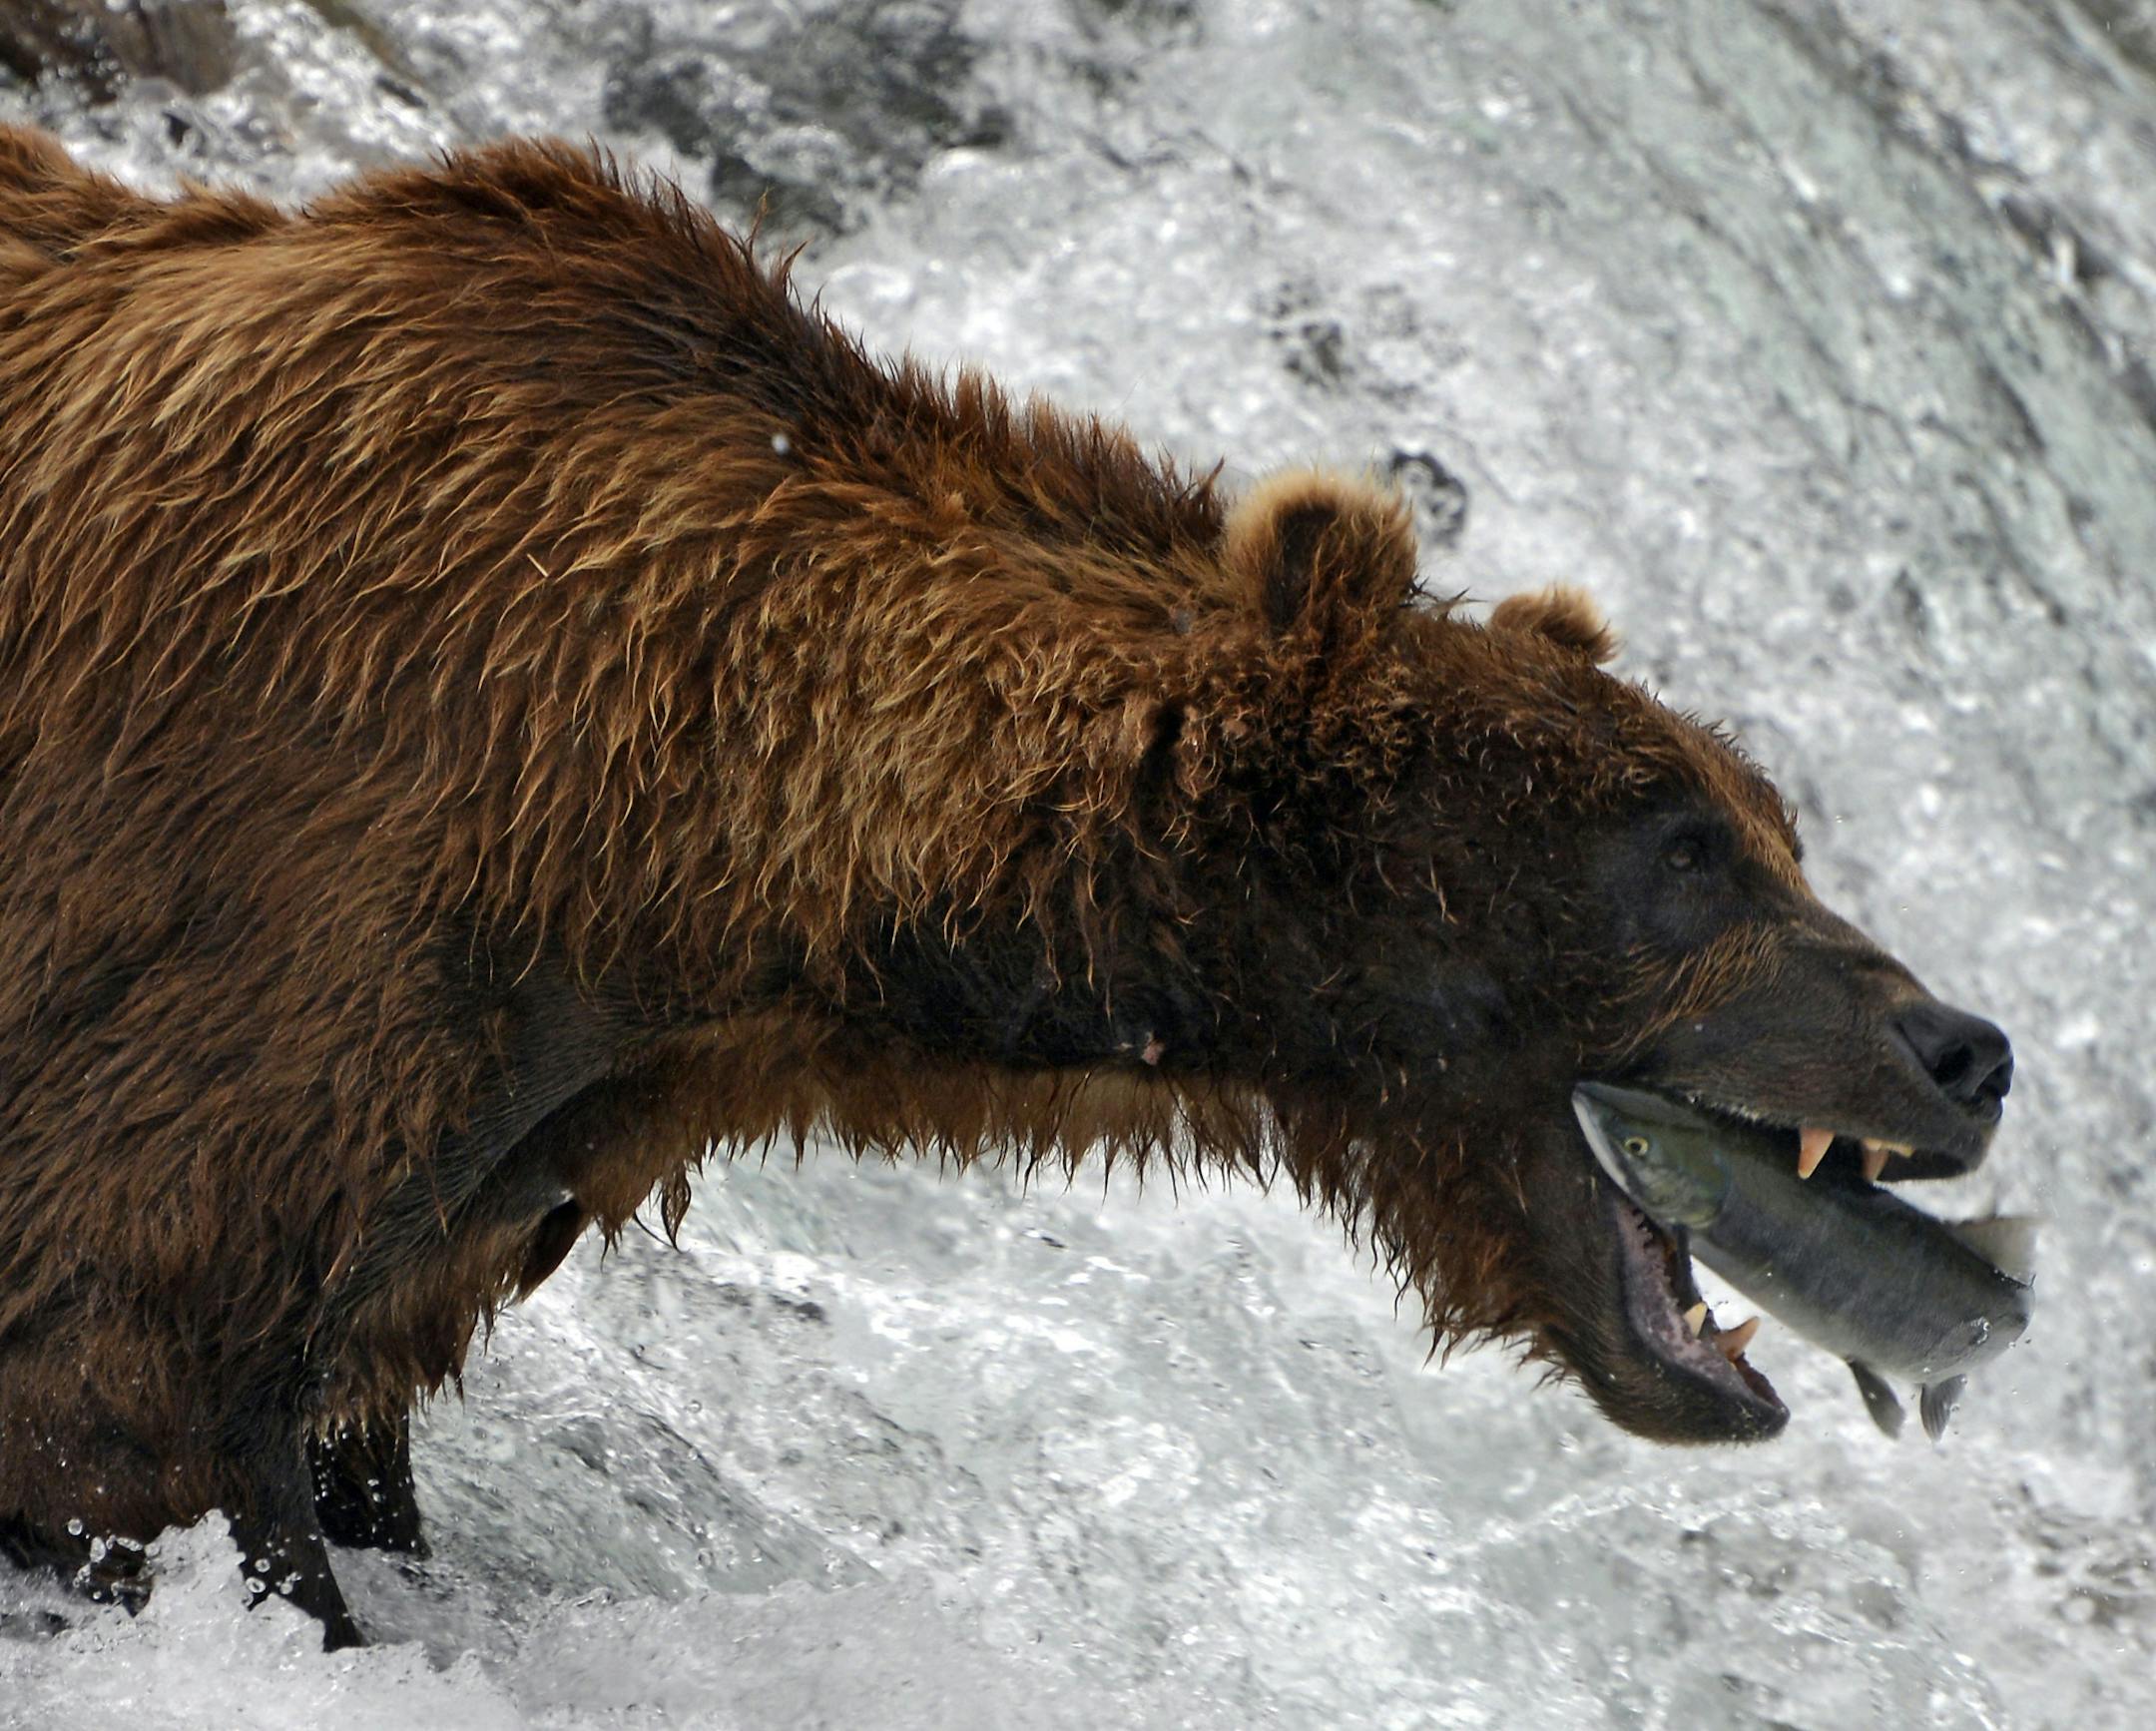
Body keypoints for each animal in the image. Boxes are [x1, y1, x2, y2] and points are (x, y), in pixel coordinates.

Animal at [0, 127, 2014, 1648]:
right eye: (1682, 849)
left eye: (1777, 830)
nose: (1965, 1046)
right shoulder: (314, 880)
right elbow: (126, 1395)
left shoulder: (522, 1134)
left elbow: (350, 1409)